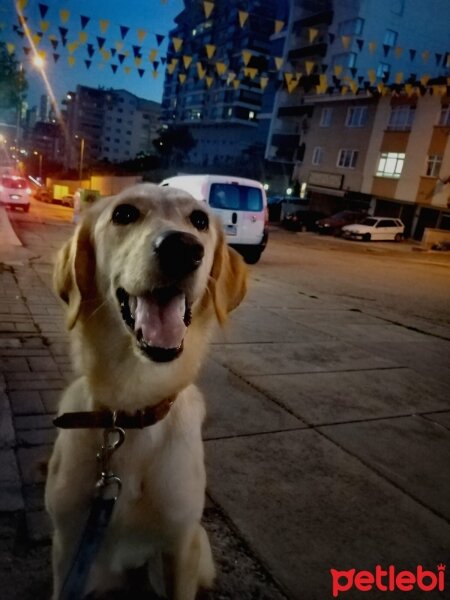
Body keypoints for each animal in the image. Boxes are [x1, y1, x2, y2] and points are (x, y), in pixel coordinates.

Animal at [44, 184, 248, 600]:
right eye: (124, 214)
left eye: (199, 220)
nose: (182, 248)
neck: (131, 410)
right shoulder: (67, 545)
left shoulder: (179, 547)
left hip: (198, 550)